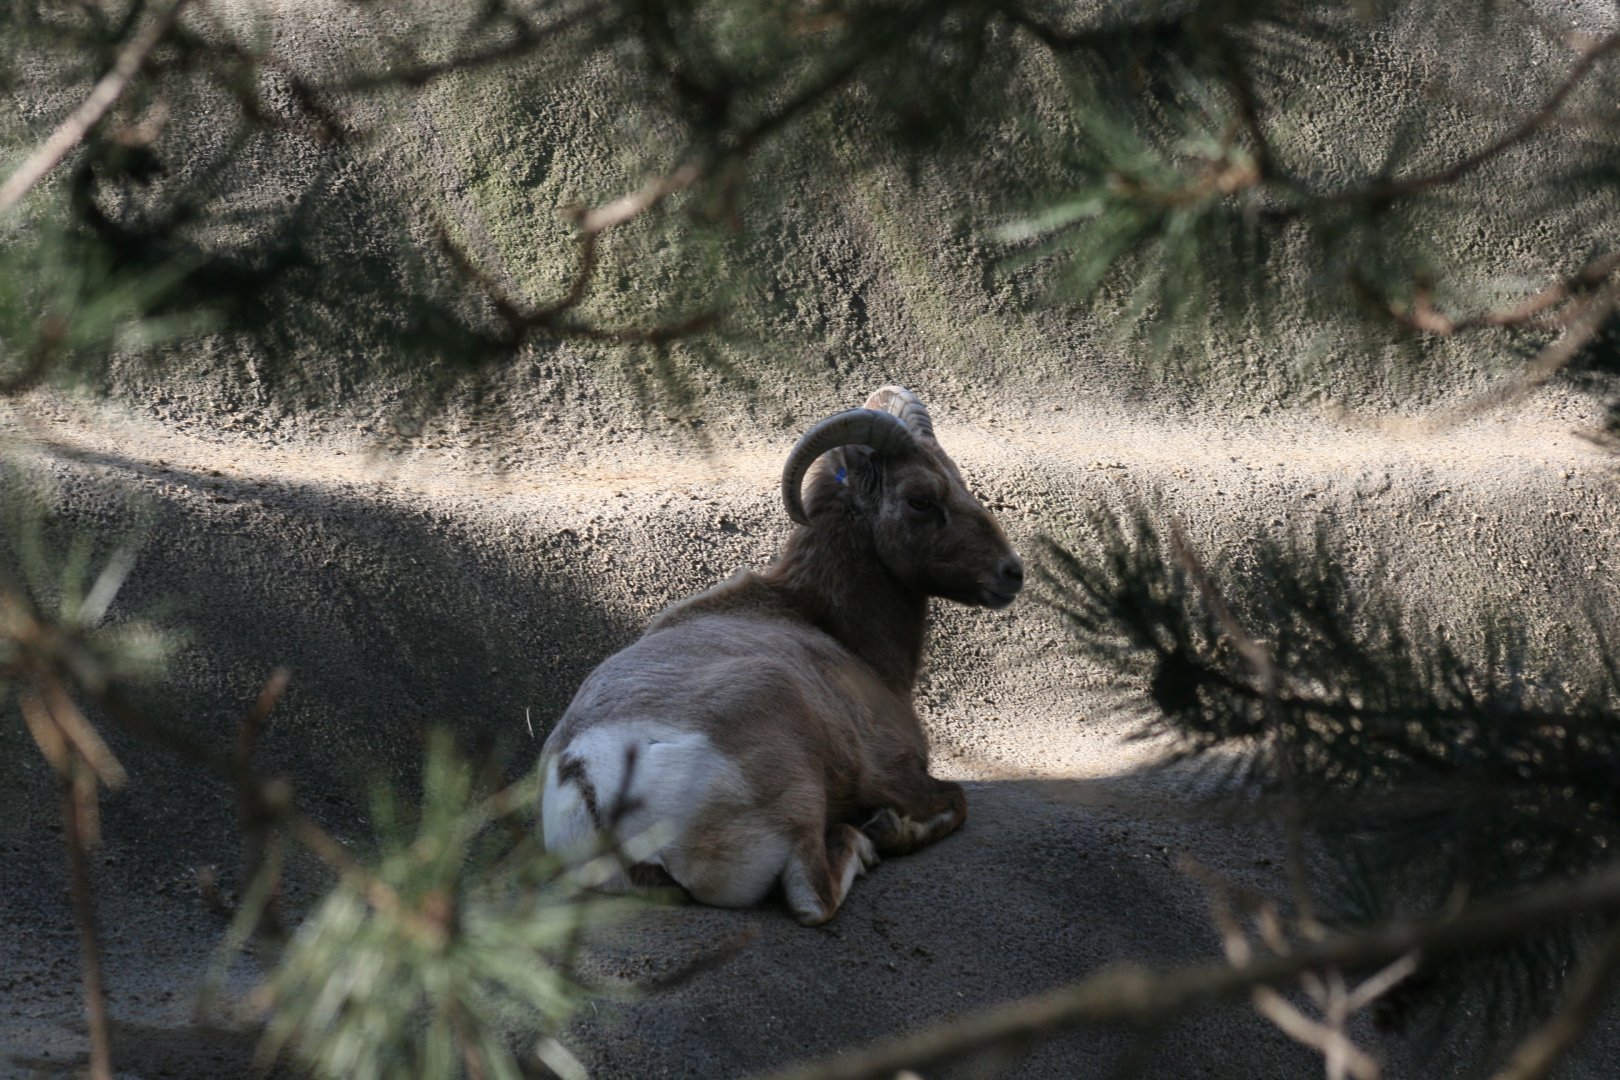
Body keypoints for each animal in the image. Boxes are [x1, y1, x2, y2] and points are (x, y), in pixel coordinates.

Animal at [539, 386, 1022, 925]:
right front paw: (887, 828)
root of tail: (588, 782)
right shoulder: (894, 773)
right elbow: (957, 801)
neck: (831, 626)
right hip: (797, 789)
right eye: (920, 499)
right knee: (814, 899)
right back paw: (864, 841)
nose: (1011, 573)